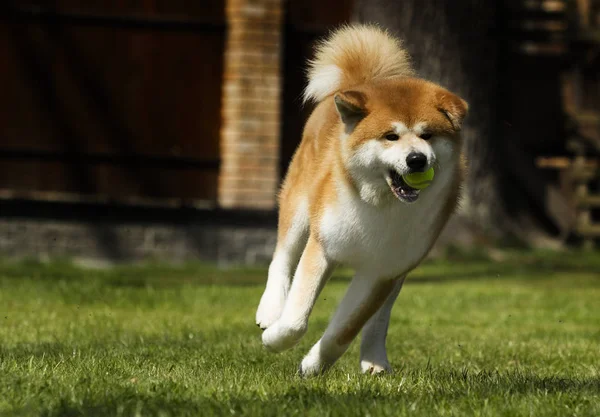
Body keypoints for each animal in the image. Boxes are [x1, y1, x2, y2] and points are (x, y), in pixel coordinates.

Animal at [253, 24, 468, 376]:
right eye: (391, 136)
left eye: (427, 135)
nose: (417, 160)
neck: (380, 205)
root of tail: (359, 83)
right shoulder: (323, 246)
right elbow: (296, 319)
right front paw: (275, 339)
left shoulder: (381, 271)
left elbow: (345, 330)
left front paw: (313, 365)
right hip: (300, 205)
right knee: (282, 257)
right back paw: (270, 309)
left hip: (400, 272)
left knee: (378, 321)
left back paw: (375, 359)